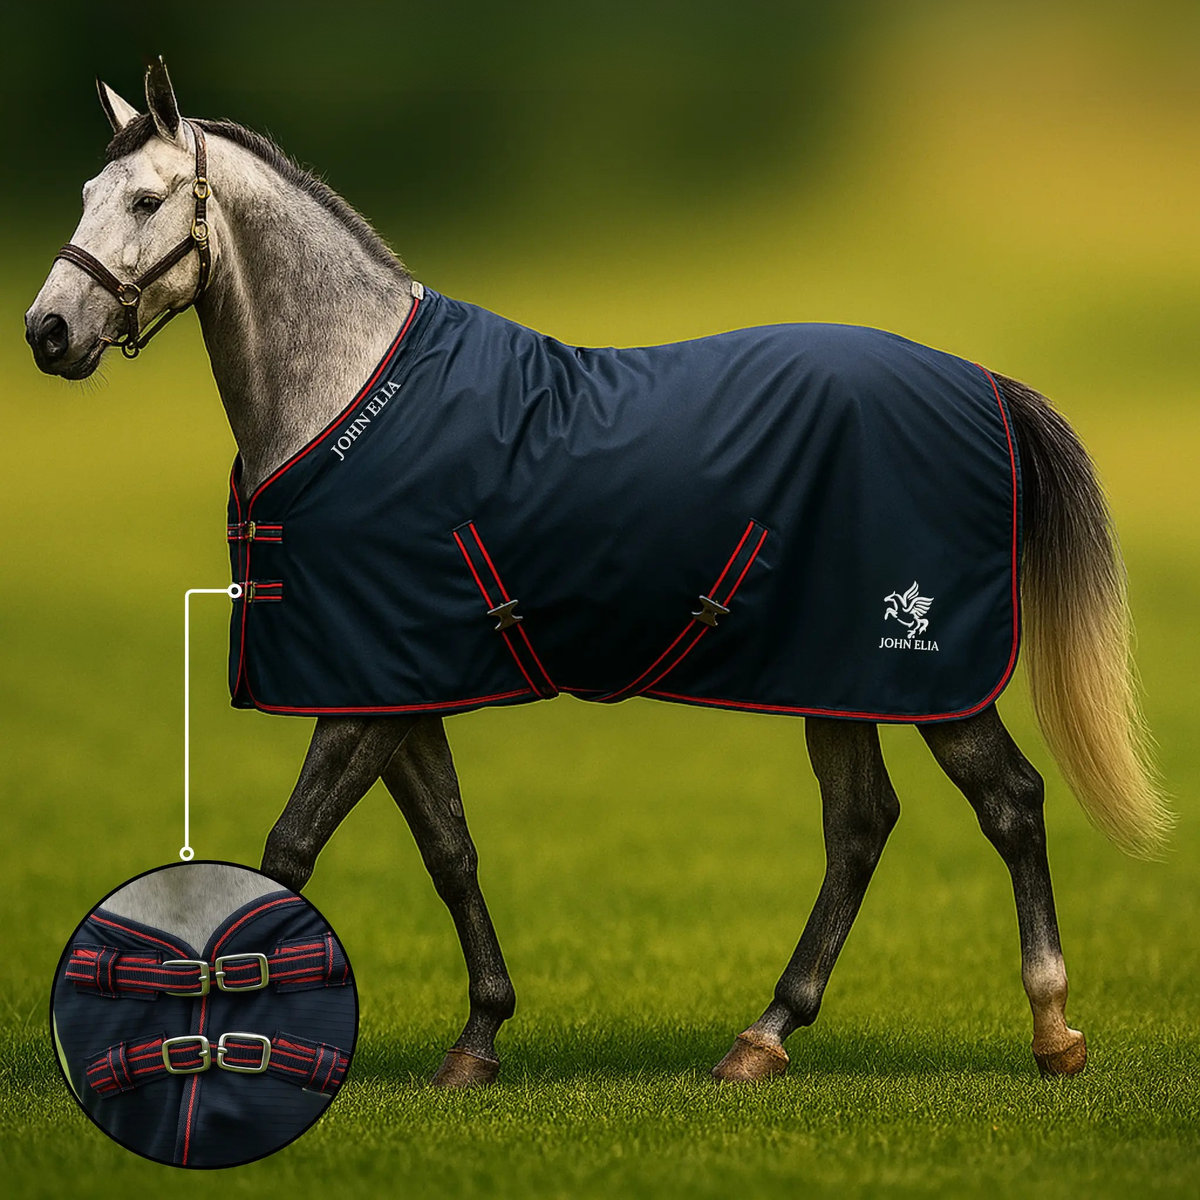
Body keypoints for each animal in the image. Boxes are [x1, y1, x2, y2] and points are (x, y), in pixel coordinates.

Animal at [27, 60, 1167, 1088]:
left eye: (143, 199)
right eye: (83, 195)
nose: (48, 332)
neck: (348, 399)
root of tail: (982, 383)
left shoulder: (364, 696)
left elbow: (286, 854)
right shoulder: (396, 687)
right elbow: (450, 850)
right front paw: (479, 1039)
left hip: (929, 672)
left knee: (1009, 803)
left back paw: (1051, 1029)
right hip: (838, 676)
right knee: (859, 829)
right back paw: (763, 1038)